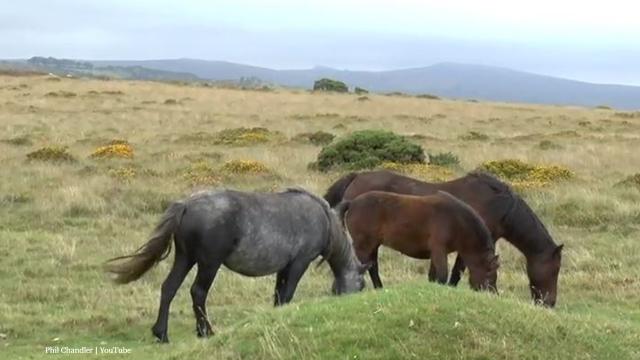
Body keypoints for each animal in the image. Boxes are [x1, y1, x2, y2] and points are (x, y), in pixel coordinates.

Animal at [107, 187, 368, 342]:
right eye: (362, 285)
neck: (325, 221)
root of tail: (187, 204)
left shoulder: (283, 268)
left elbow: (278, 295)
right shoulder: (299, 263)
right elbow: (287, 294)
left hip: (185, 258)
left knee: (168, 288)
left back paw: (161, 333)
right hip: (209, 263)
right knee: (197, 292)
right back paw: (206, 331)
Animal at [340, 190, 500, 292]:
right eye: (489, 274)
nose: (493, 293)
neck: (456, 220)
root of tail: (352, 203)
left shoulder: (435, 253)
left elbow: (433, 277)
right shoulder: (439, 250)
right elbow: (442, 276)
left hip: (373, 246)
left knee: (372, 267)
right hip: (364, 246)